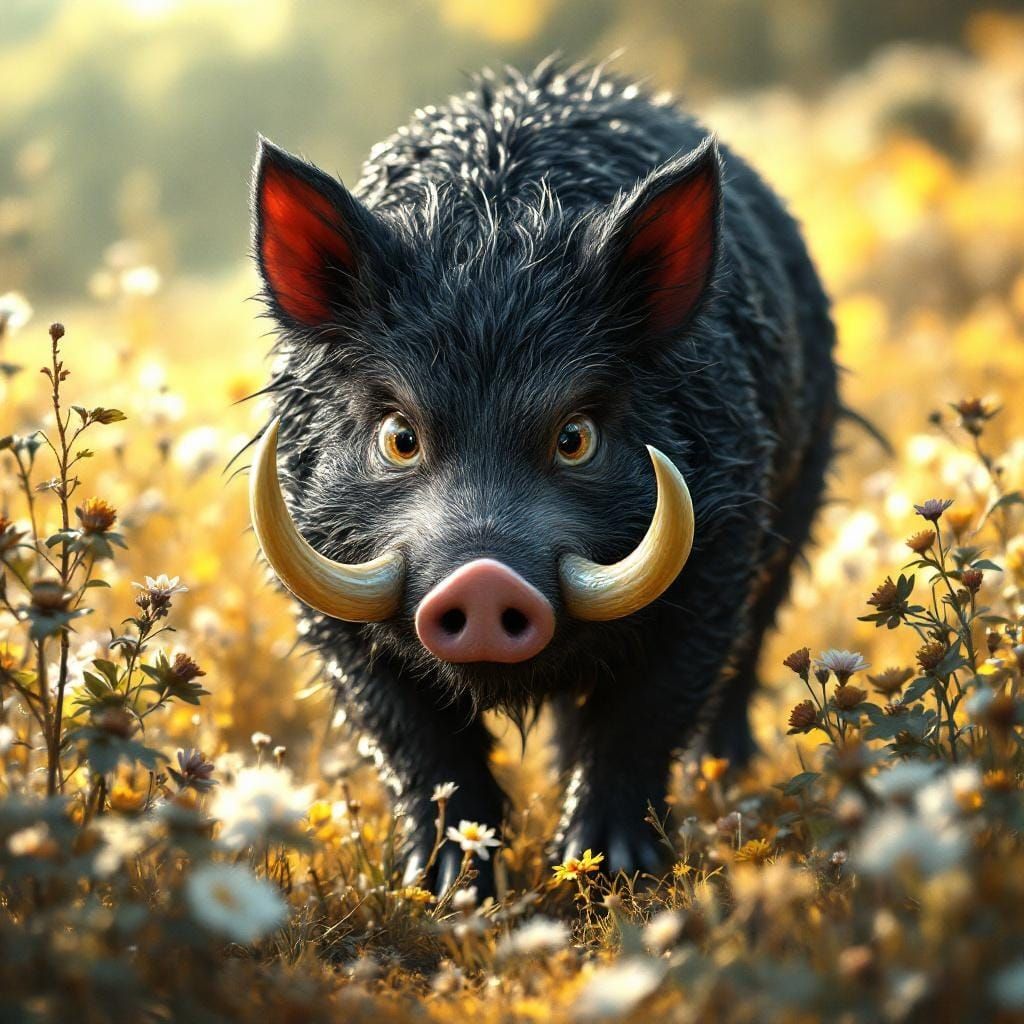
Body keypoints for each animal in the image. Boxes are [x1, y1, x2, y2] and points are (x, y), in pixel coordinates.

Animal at [247, 57, 838, 893]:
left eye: (575, 437)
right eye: (400, 437)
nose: (482, 579)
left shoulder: (718, 555)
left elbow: (645, 716)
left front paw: (610, 872)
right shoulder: (328, 609)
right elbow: (419, 747)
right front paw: (438, 889)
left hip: (799, 497)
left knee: (751, 651)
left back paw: (723, 775)